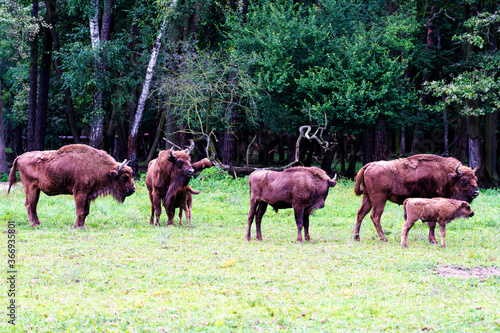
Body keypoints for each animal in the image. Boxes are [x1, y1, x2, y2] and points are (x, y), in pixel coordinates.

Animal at [8, 144, 137, 227]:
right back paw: (34, 224)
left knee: (33, 205)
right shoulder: (80, 193)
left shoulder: (88, 194)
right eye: (124, 177)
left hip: (37, 189)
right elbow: (80, 211)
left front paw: (81, 225)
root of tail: (20, 157)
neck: (98, 167)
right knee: (29, 204)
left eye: (131, 174)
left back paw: (38, 223)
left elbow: (85, 212)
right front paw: (77, 227)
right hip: (30, 188)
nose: (133, 189)